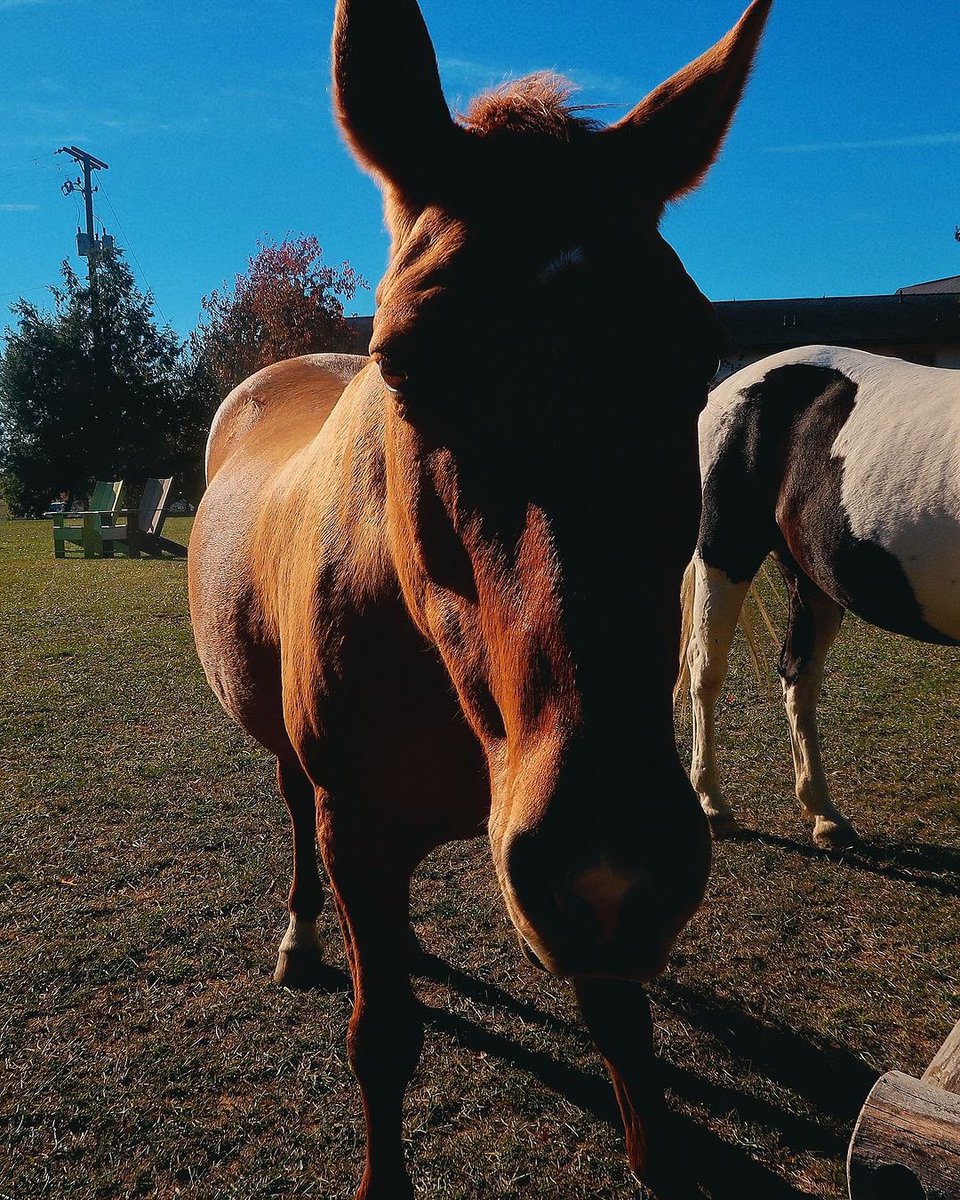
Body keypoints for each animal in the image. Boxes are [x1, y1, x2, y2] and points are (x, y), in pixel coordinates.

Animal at [188, 1, 772, 1195]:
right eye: (402, 363)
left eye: (698, 357)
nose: (615, 866)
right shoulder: (357, 824)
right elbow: (382, 1039)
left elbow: (624, 1030)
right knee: (296, 825)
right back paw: (304, 937)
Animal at [680, 344, 960, 849]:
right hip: (725, 553)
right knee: (705, 670)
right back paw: (713, 805)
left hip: (811, 581)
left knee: (798, 674)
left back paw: (824, 815)